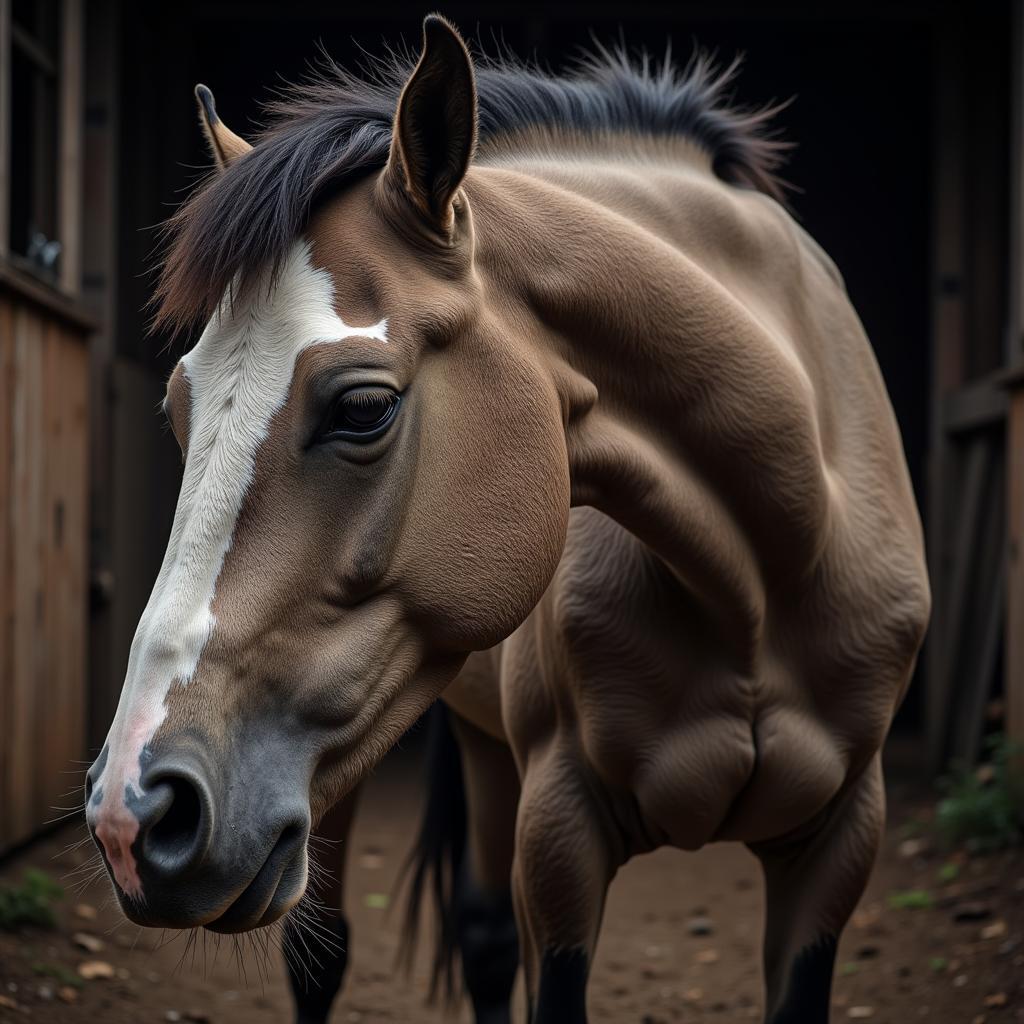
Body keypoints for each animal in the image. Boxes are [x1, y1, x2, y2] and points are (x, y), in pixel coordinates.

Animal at [83, 18, 933, 1024]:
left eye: (363, 407)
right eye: (177, 409)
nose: (131, 812)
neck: (760, 584)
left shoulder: (840, 840)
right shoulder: (561, 838)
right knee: (334, 959)